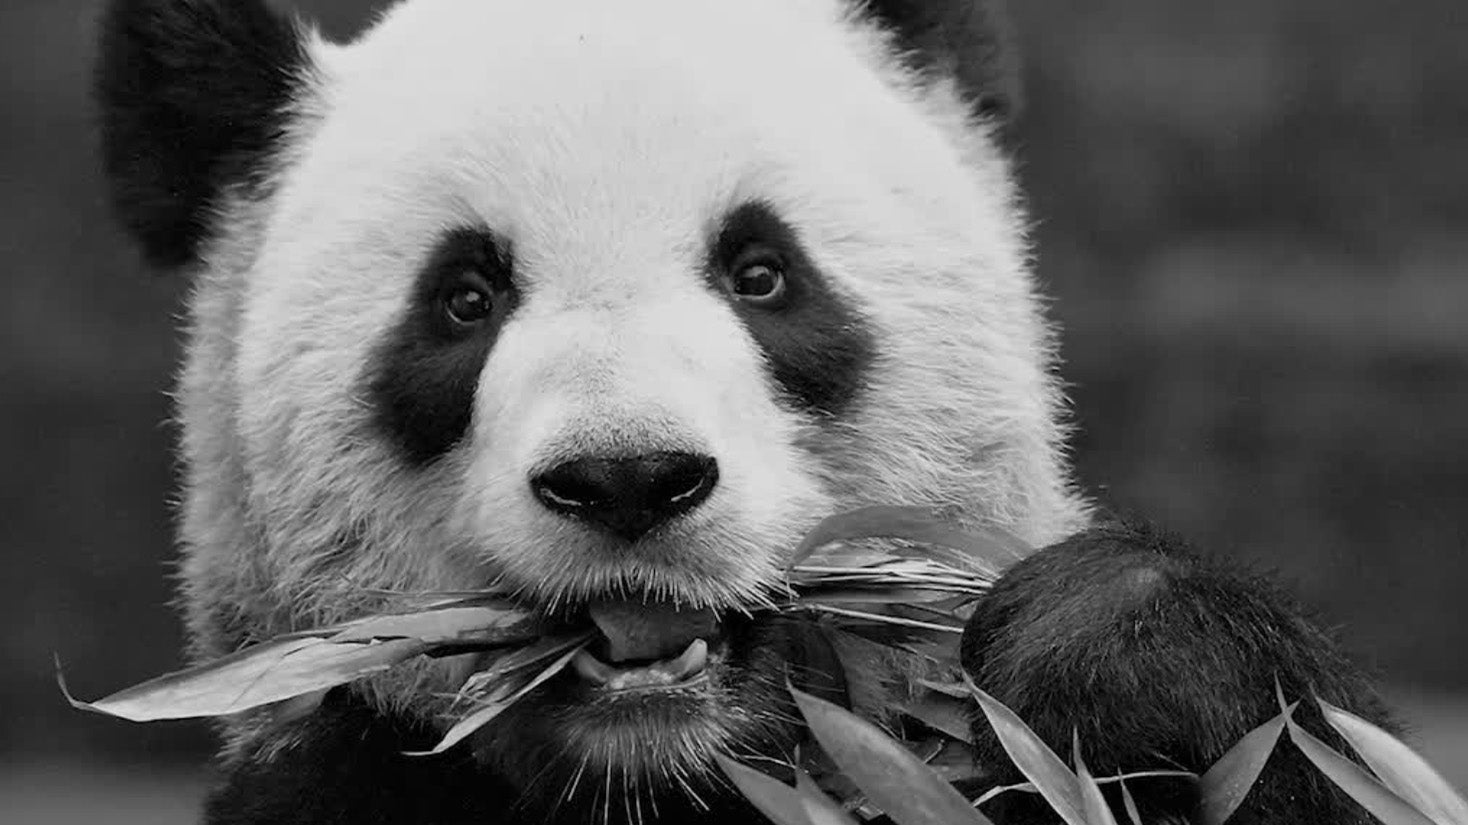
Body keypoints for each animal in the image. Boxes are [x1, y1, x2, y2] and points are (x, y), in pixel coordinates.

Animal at [95, 0, 1394, 823]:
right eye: (462, 298)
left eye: (761, 272)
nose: (627, 478)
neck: (672, 770)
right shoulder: (341, 767)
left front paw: (1113, 654)